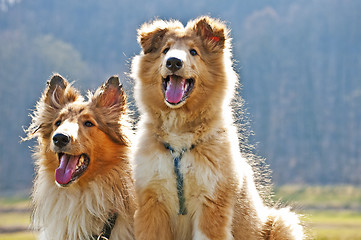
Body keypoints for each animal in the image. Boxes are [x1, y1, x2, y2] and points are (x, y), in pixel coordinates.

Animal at [131, 15, 302, 239]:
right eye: (165, 50)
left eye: (194, 51)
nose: (173, 62)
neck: (179, 132)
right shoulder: (152, 201)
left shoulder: (211, 203)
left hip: (282, 222)